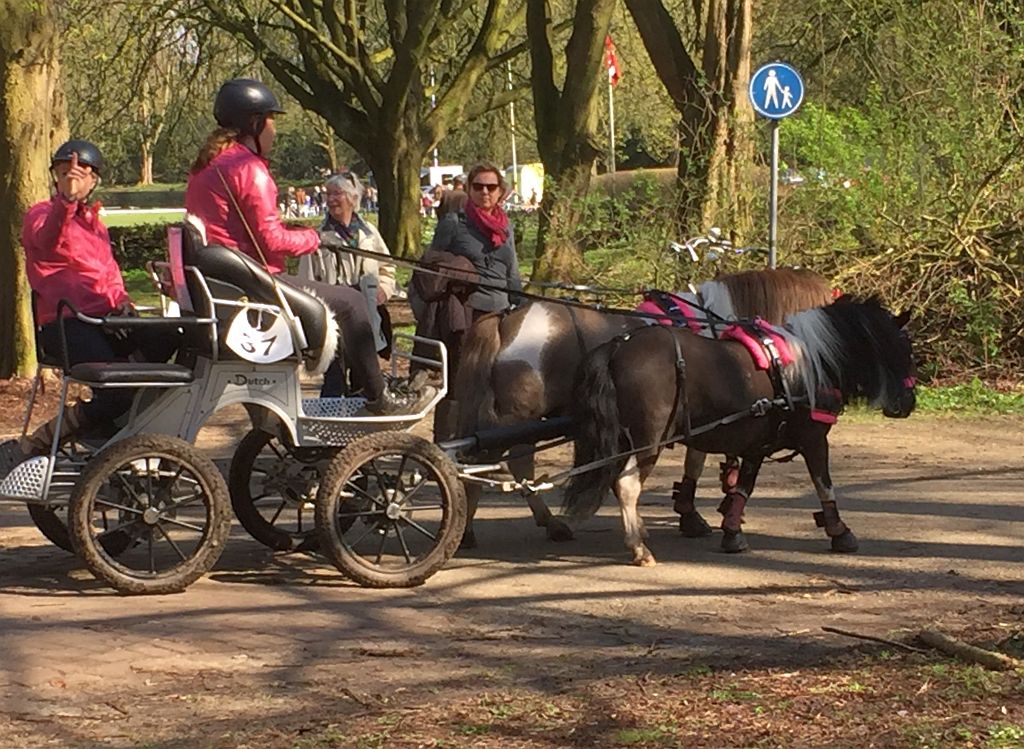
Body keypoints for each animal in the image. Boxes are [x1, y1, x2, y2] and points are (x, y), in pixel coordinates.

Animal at [452, 268, 835, 545]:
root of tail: (506, 320)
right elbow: (695, 461)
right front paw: (692, 515)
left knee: (513, 464)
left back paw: (545, 523)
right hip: (514, 418)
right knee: (488, 462)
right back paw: (472, 527)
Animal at [561, 295, 921, 565]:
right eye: (904, 348)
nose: (907, 403)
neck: (808, 366)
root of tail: (617, 347)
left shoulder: (755, 445)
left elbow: (743, 489)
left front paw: (732, 532)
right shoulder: (814, 439)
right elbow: (824, 485)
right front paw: (840, 532)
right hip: (648, 441)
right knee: (626, 485)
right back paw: (638, 547)